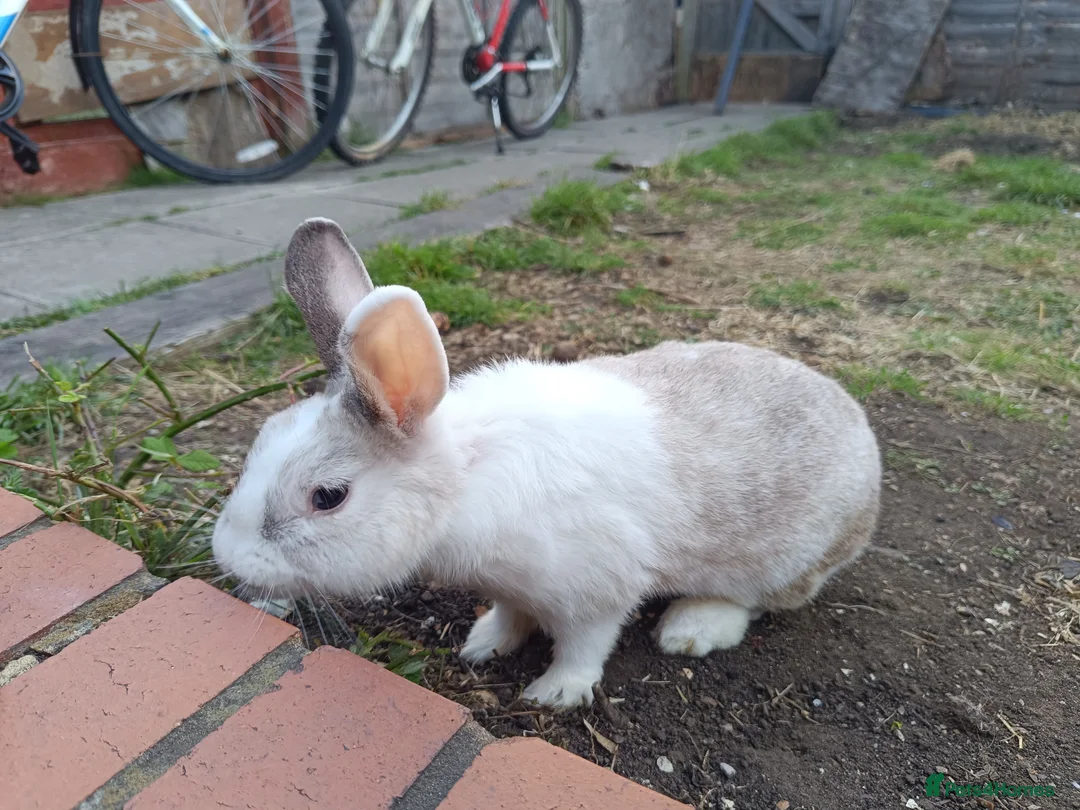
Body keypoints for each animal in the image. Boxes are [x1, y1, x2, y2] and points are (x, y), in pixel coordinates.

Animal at [212, 217, 882, 710]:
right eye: (263, 439)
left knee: (758, 600)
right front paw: (483, 645)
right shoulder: (512, 585)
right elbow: (513, 613)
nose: (229, 558)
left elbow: (585, 646)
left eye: (328, 496)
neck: (464, 480)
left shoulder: (597, 589)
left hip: (779, 561)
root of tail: (864, 441)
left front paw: (553, 695)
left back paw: (690, 630)